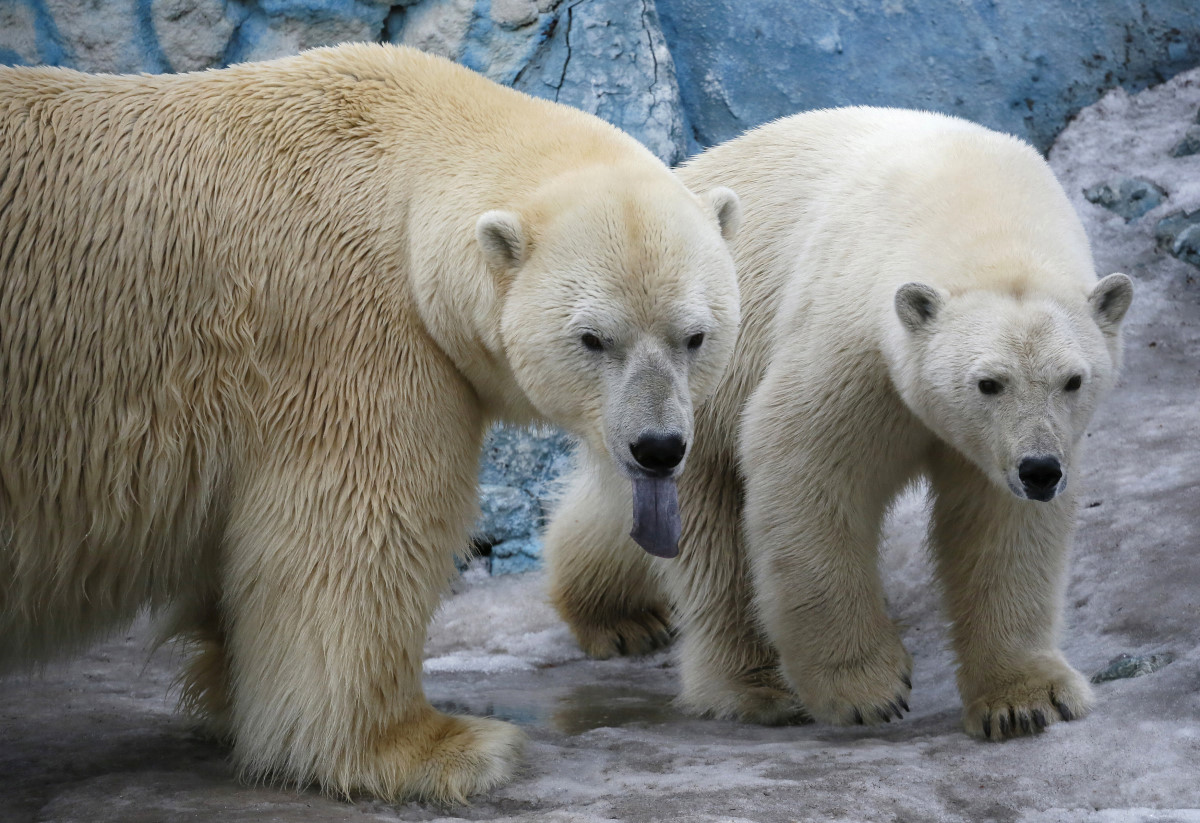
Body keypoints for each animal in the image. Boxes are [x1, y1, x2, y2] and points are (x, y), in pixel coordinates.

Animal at [0, 46, 739, 806]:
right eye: (593, 339)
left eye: (695, 336)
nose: (658, 447)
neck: (409, 165)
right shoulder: (350, 333)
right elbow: (355, 536)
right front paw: (436, 748)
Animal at [549, 106, 1128, 743]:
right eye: (988, 382)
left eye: (1072, 380)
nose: (1040, 470)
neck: (976, 204)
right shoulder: (852, 335)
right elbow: (807, 471)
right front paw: (866, 689)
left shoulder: (1006, 442)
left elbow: (999, 524)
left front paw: (1027, 699)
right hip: (687, 385)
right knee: (709, 539)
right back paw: (744, 681)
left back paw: (624, 616)